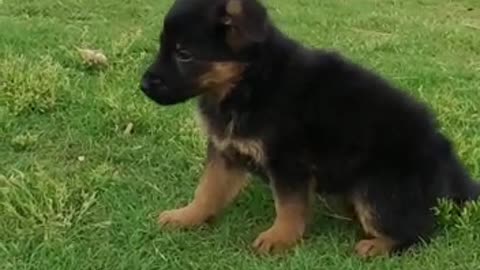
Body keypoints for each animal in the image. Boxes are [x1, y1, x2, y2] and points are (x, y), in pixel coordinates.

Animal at [140, 0, 480, 258]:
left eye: (184, 54)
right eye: (164, 47)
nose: (143, 85)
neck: (249, 82)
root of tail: (447, 160)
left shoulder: (289, 162)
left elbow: (289, 207)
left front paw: (279, 238)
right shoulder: (226, 151)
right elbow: (208, 190)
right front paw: (187, 216)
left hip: (375, 189)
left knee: (419, 230)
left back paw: (377, 246)